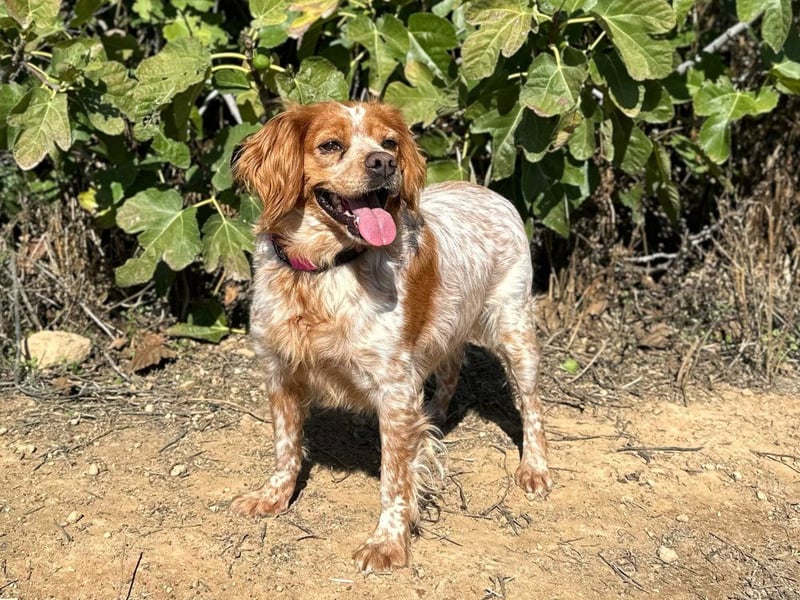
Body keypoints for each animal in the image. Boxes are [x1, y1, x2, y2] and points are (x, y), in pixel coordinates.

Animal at [230, 101, 552, 572]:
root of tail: (488, 191)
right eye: (331, 145)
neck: (323, 272)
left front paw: (388, 542)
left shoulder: (394, 388)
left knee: (531, 405)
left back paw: (535, 467)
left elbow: (395, 479)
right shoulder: (279, 371)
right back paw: (434, 418)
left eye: (390, 143)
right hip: (445, 330)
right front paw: (274, 497)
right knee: (450, 372)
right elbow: (286, 447)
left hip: (514, 329)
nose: (383, 163)